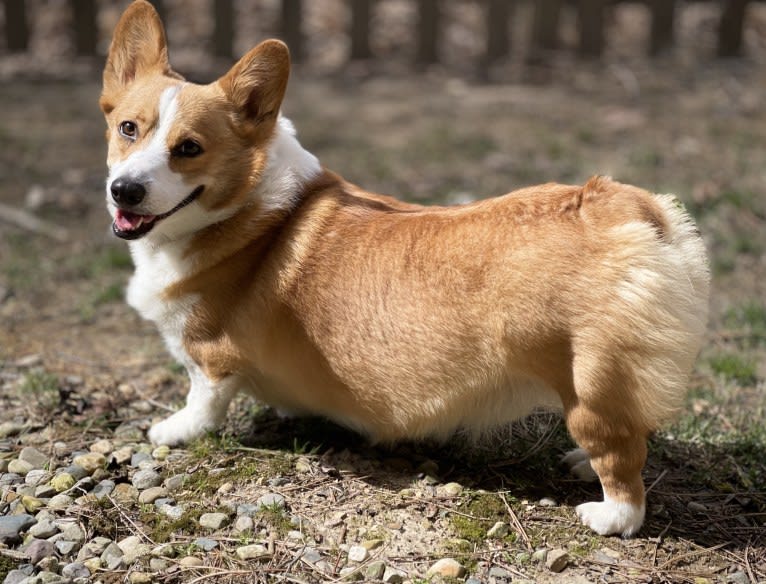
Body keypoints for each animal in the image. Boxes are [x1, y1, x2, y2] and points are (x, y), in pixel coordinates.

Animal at [103, 1, 712, 540]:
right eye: (128, 128)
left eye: (189, 148)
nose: (123, 190)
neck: (248, 211)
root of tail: (624, 205)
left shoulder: (210, 355)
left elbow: (201, 400)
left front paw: (171, 430)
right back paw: (581, 462)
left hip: (590, 382)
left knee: (622, 459)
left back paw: (607, 514)